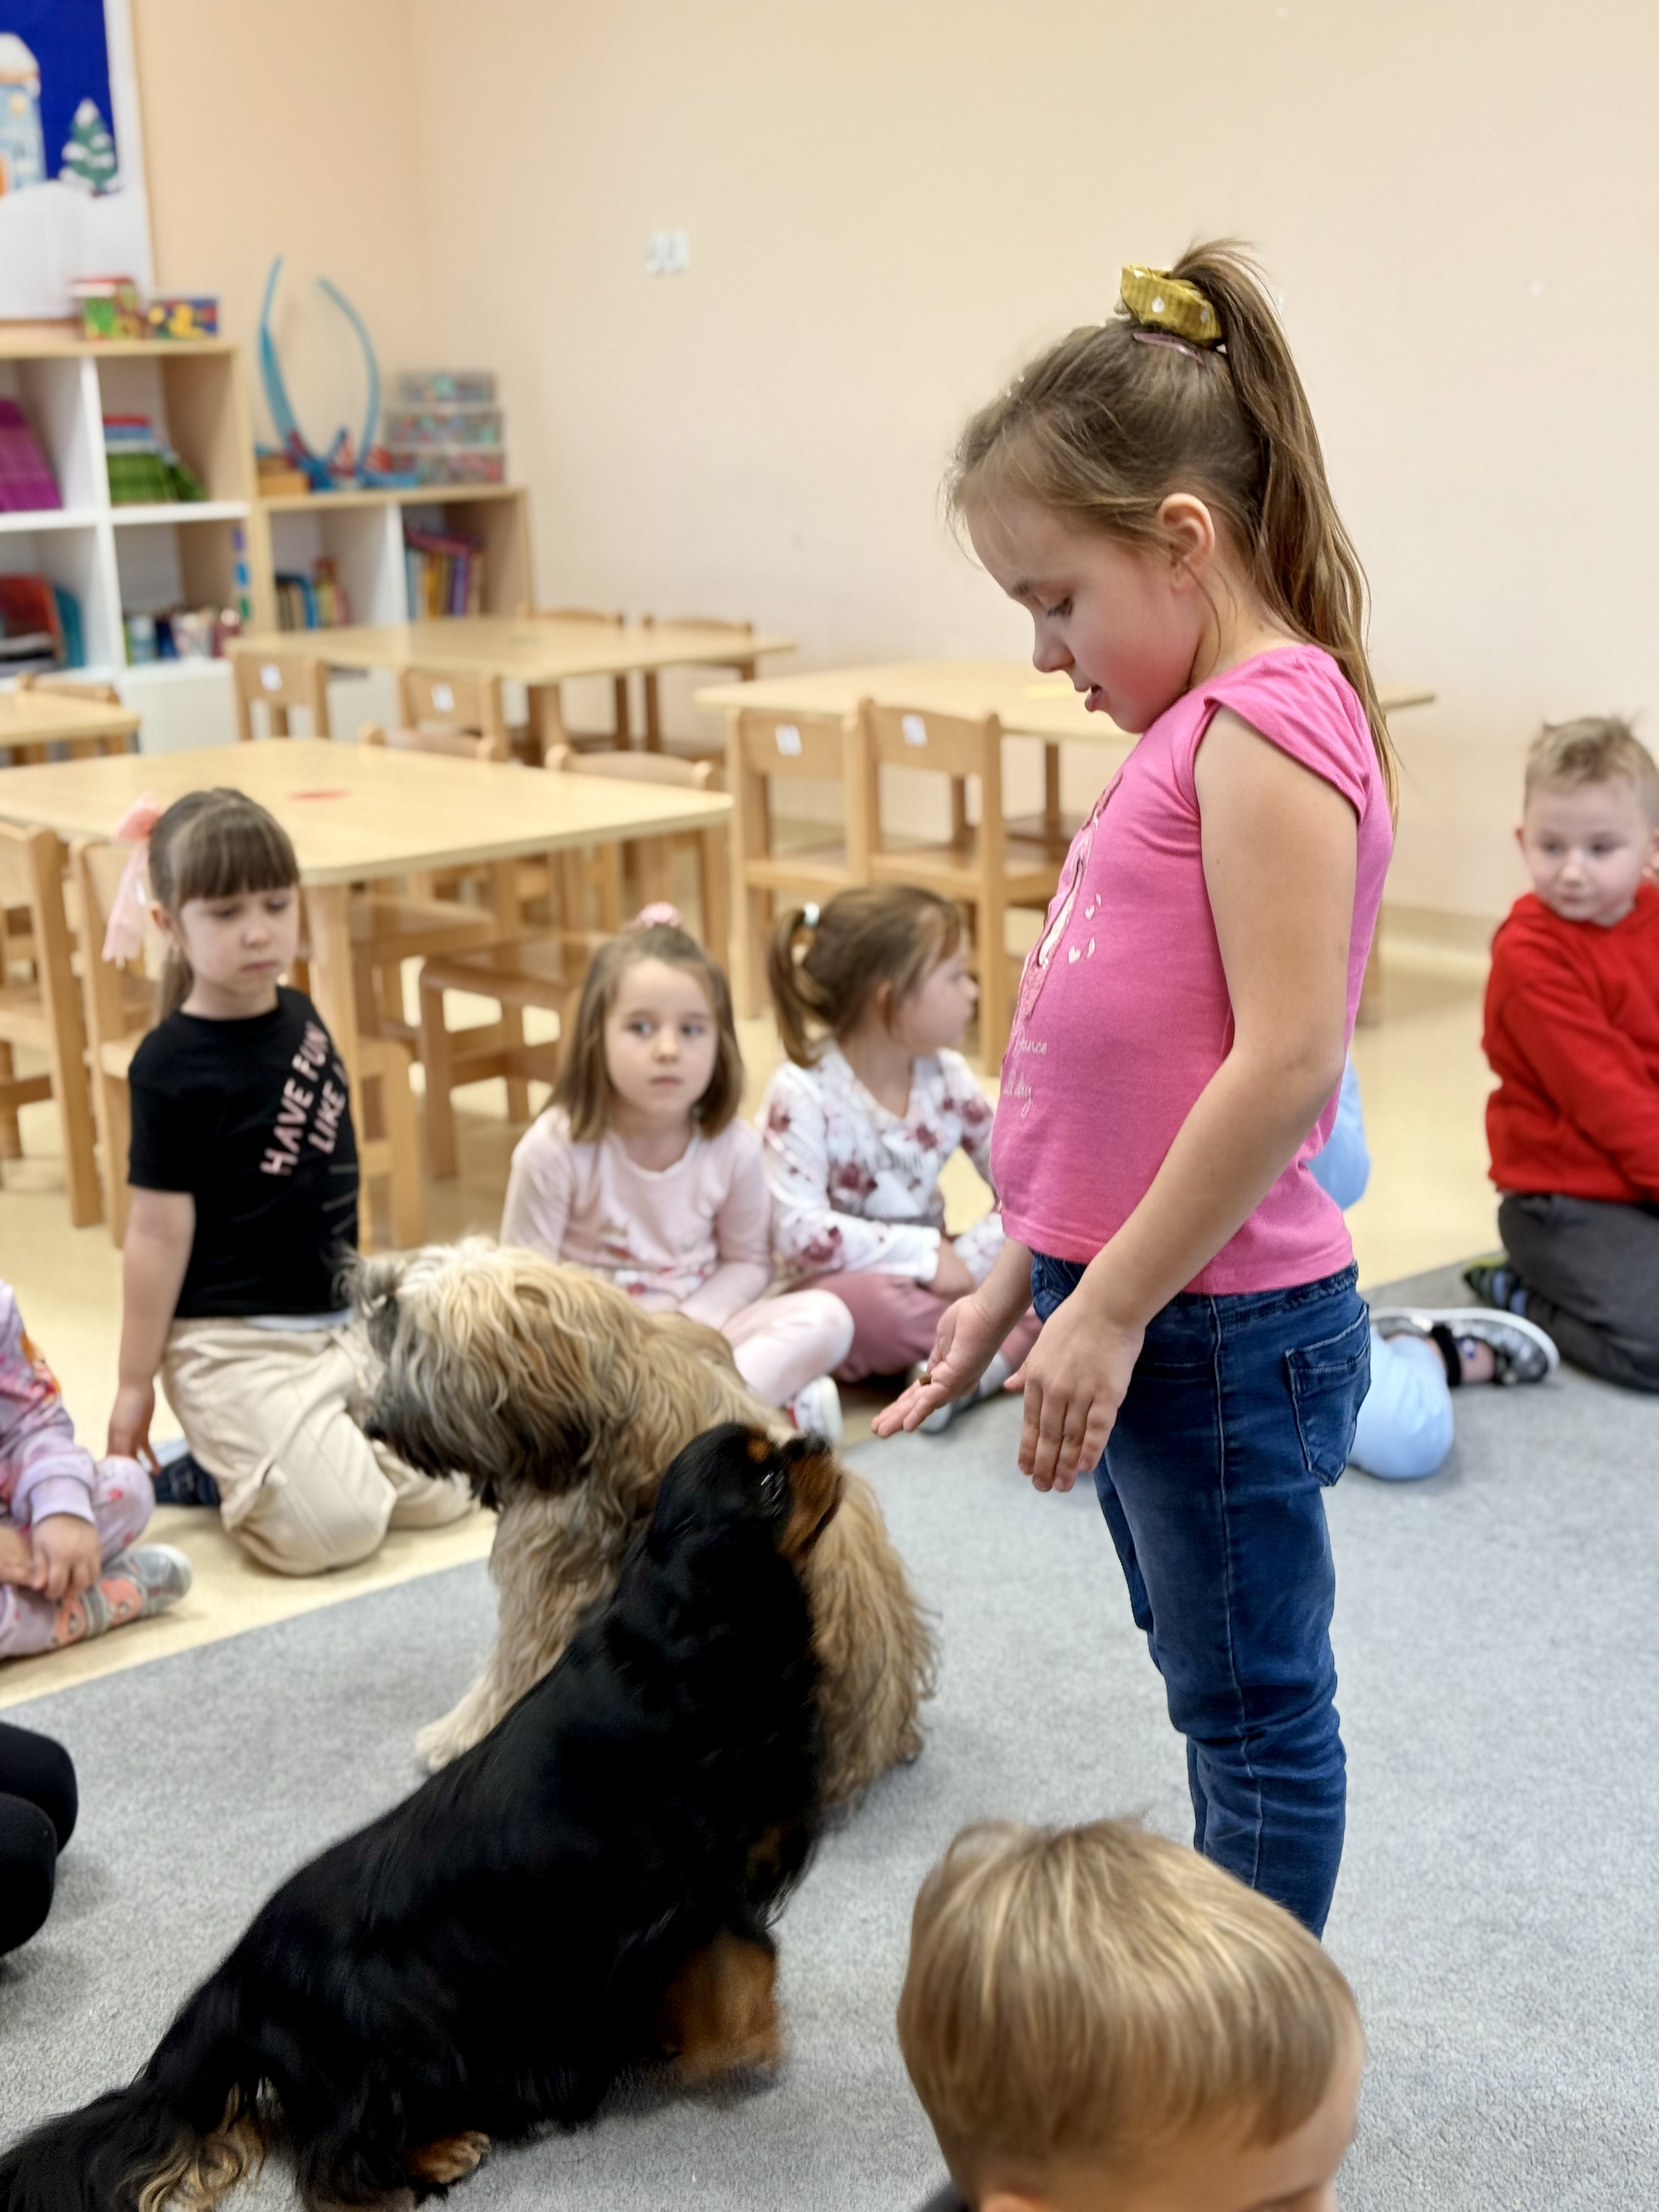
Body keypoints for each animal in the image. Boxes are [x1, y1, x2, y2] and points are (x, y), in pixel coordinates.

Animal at [0, 1425, 839, 2212]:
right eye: (770, 1481)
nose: (819, 1440)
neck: (680, 1637)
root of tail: (241, 1974)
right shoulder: (695, 1885)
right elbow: (750, 1960)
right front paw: (747, 2044)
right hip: (418, 2043)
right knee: (333, 2156)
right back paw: (433, 2154)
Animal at [354, 1239, 935, 1807]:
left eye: (416, 1352)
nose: (372, 1423)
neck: (604, 1377)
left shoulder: (550, 1569)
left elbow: (513, 1663)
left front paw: (455, 1734)